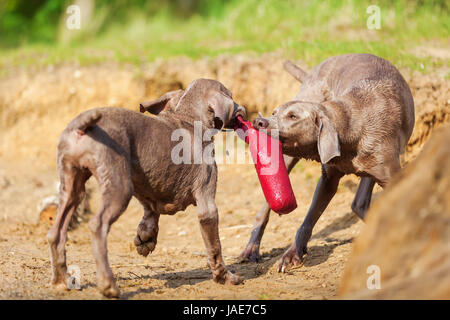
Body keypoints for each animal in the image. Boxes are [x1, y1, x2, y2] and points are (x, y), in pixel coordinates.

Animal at [46, 78, 246, 298]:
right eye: (231, 95)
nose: (243, 110)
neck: (188, 119)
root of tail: (81, 126)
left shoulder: (148, 191)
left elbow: (150, 216)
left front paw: (145, 240)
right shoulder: (207, 203)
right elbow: (215, 247)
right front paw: (226, 277)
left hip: (72, 186)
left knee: (56, 232)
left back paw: (61, 281)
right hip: (119, 187)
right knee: (97, 226)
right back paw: (108, 285)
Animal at [243, 53, 414, 272]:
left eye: (293, 116)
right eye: (274, 112)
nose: (259, 121)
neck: (351, 127)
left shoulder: (389, 173)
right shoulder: (328, 179)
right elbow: (308, 220)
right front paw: (292, 255)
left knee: (360, 201)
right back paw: (251, 249)